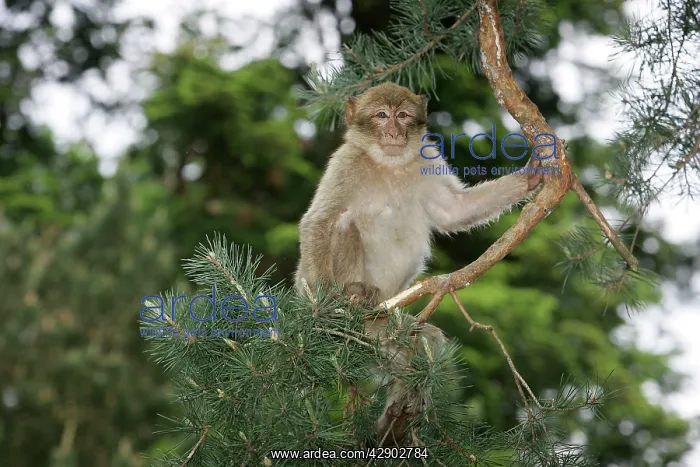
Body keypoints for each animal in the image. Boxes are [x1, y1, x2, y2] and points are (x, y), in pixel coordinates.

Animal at [294, 82, 542, 444]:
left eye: (403, 116)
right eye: (381, 115)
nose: (394, 132)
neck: (390, 165)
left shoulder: (428, 159)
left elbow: (454, 210)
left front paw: (529, 178)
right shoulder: (345, 163)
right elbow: (320, 222)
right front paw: (323, 307)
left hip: (385, 326)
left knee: (420, 343)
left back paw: (397, 420)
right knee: (343, 224)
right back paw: (352, 295)